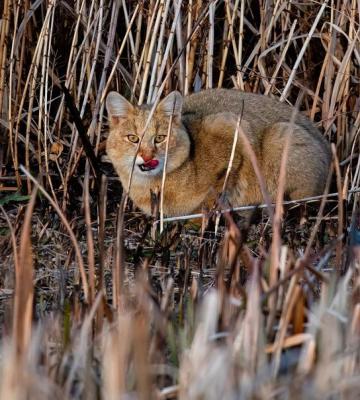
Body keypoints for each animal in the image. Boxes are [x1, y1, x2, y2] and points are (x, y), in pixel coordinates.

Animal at [105, 89, 330, 217]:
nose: (147, 156)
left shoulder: (232, 128)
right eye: (133, 138)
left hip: (279, 136)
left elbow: (221, 186)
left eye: (160, 138)